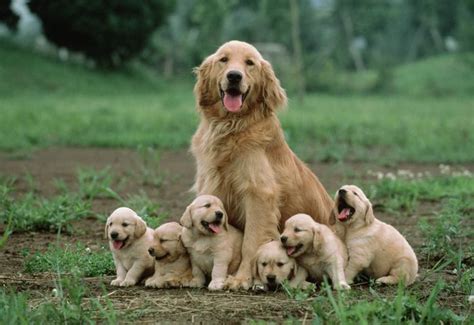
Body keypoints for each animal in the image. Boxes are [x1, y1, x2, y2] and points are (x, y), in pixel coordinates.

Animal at [191, 39, 332, 288]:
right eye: (223, 60)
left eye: (250, 63)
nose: (234, 76)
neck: (231, 126)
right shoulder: (212, 187)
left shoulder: (258, 195)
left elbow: (252, 242)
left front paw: (241, 278)